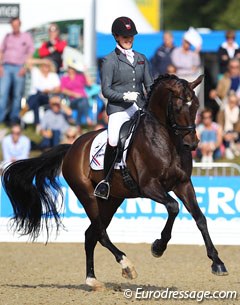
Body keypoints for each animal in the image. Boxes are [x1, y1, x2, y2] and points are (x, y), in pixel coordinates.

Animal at [1, 73, 227, 290]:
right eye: (178, 107)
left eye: (196, 105)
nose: (192, 144)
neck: (166, 139)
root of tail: (72, 147)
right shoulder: (149, 186)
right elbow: (173, 207)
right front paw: (158, 247)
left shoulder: (183, 184)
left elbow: (200, 218)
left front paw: (217, 262)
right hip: (87, 195)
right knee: (100, 232)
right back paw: (126, 265)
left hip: (111, 200)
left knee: (91, 234)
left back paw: (92, 280)